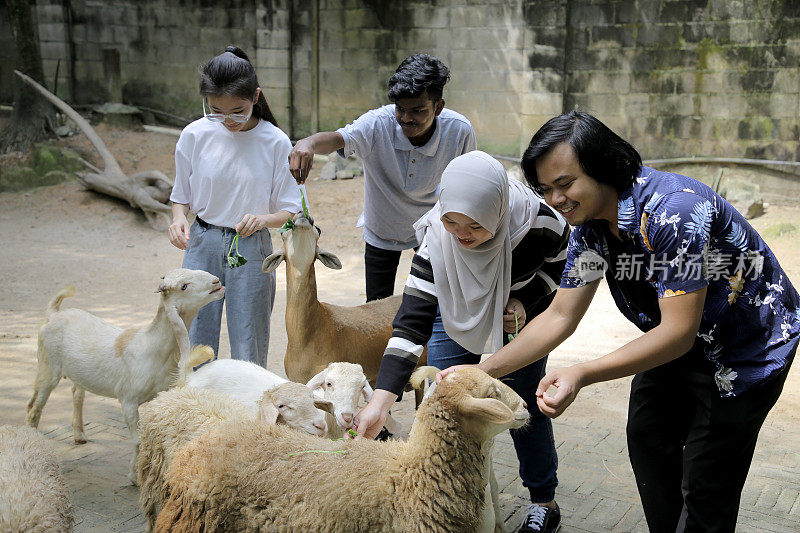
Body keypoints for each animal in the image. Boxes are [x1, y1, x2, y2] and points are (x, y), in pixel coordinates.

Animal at [26, 268, 225, 484]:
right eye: (184, 286)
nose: (217, 282)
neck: (152, 348)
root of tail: (53, 314)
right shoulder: (128, 399)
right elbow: (138, 440)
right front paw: (134, 476)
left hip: (76, 373)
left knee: (76, 393)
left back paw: (79, 435)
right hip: (48, 367)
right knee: (33, 408)